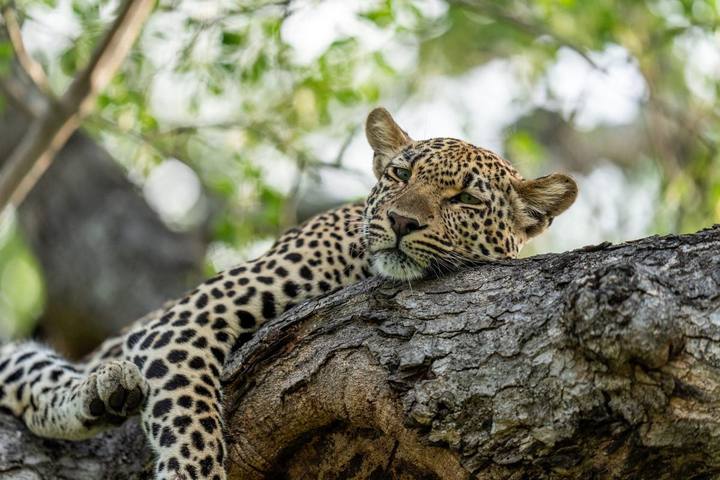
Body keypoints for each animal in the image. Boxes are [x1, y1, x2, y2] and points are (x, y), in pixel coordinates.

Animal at [0, 108, 577, 479]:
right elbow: (191, 423)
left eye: (465, 200)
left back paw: (107, 392)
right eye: (400, 173)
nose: (400, 220)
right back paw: (107, 387)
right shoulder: (181, 320)